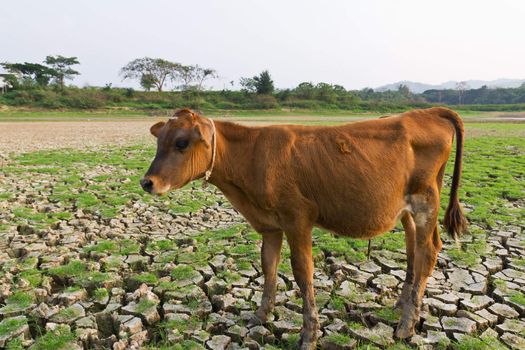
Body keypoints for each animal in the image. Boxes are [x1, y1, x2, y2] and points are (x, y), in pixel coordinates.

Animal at [140, 108, 466, 348]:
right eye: (159, 141)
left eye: (181, 142)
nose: (147, 182)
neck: (252, 158)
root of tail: (426, 112)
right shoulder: (269, 225)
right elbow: (268, 267)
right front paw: (261, 314)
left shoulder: (298, 218)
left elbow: (302, 273)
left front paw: (309, 334)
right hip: (408, 209)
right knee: (414, 249)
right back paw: (402, 305)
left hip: (425, 201)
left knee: (428, 252)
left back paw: (407, 325)